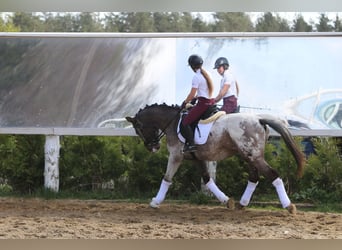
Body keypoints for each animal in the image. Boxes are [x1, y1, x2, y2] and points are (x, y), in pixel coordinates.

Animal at [125, 102, 304, 214]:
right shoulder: (197, 158)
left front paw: (155, 202)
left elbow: (167, 178)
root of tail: (258, 118)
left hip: (253, 156)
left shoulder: (176, 156)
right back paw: (241, 204)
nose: (153, 147)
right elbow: (207, 179)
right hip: (248, 156)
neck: (173, 123)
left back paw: (289, 206)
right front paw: (226, 201)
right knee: (254, 177)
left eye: (138, 128)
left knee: (273, 175)